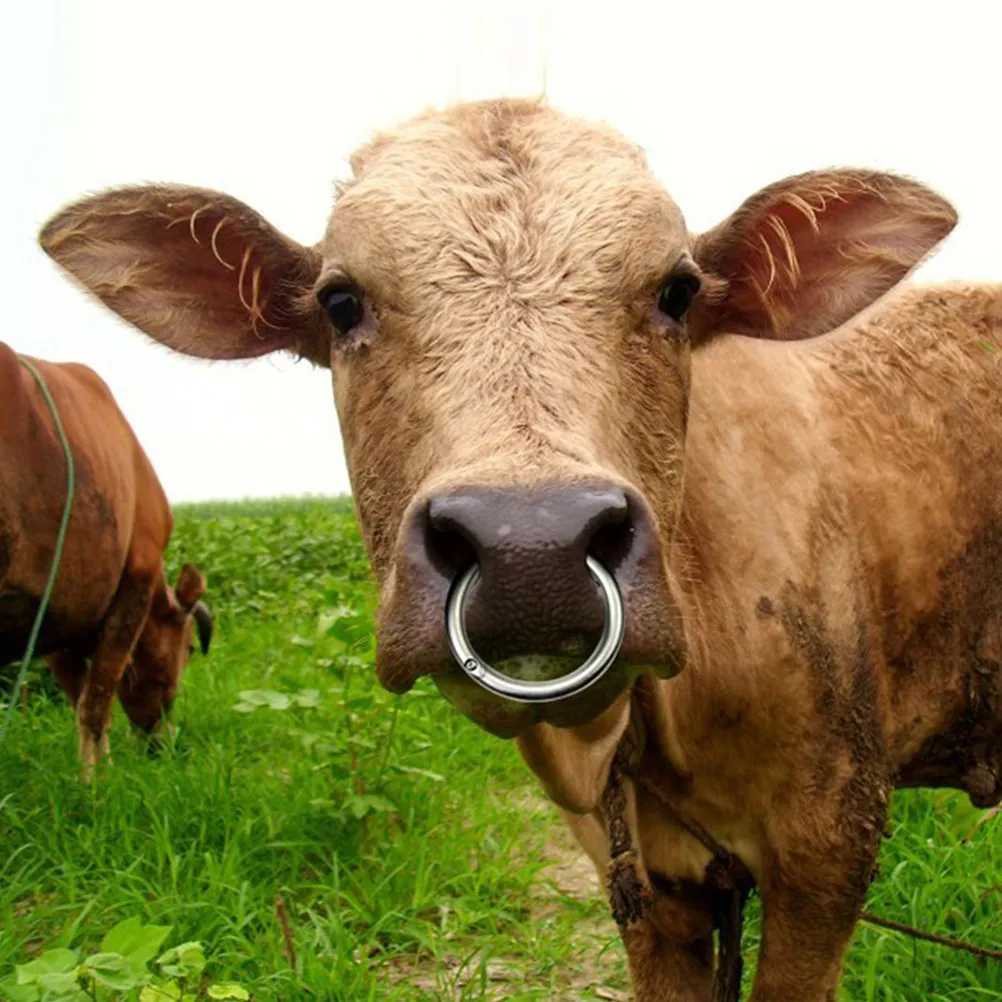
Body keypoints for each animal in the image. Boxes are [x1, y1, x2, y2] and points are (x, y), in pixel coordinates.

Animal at [0, 342, 212, 775]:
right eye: (187, 650)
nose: (161, 744)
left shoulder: (55, 615)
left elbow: (82, 696)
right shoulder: (133, 586)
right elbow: (97, 702)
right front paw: (97, 778)